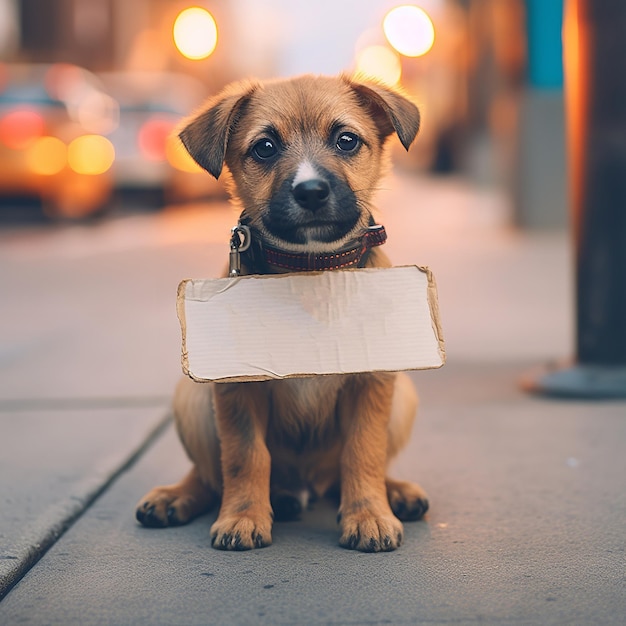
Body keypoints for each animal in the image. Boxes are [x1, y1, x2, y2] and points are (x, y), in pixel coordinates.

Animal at [136, 74, 428, 552]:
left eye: (347, 140)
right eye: (265, 148)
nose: (310, 191)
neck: (309, 273)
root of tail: (306, 485)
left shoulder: (372, 382)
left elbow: (363, 451)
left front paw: (369, 514)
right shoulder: (236, 388)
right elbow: (244, 456)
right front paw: (242, 517)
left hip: (403, 396)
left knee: (355, 469)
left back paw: (395, 491)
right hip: (191, 400)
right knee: (209, 473)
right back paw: (178, 496)